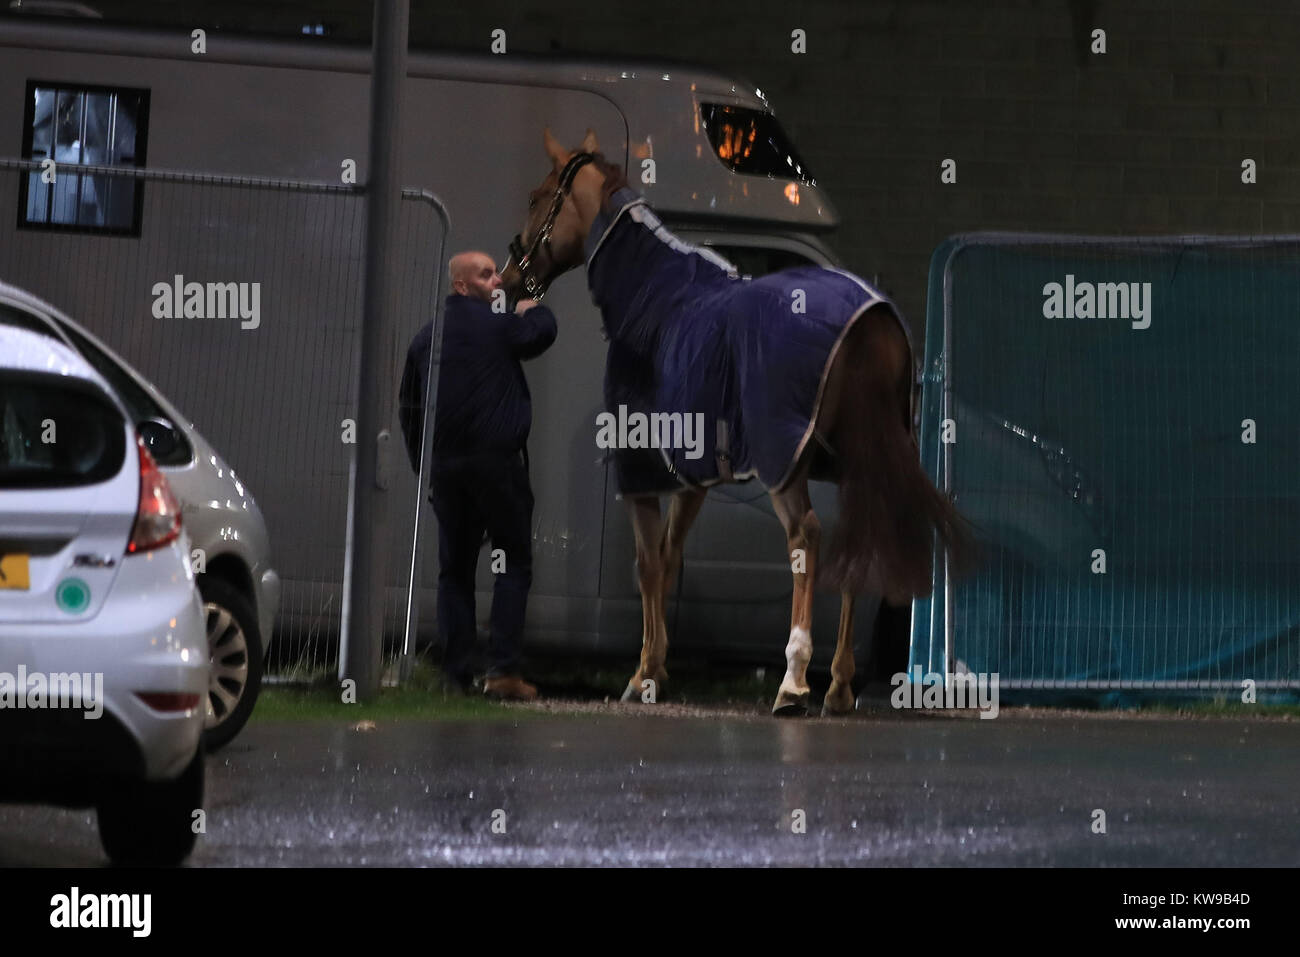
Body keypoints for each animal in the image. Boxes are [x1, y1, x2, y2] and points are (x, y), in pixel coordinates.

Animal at [501, 128, 972, 717]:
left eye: (537, 196)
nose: (510, 278)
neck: (656, 297)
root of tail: (873, 318)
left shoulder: (640, 473)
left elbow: (648, 565)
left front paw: (642, 675)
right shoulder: (693, 475)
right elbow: (671, 557)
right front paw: (659, 666)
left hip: (783, 465)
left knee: (806, 538)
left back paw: (794, 681)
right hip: (851, 462)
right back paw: (839, 686)